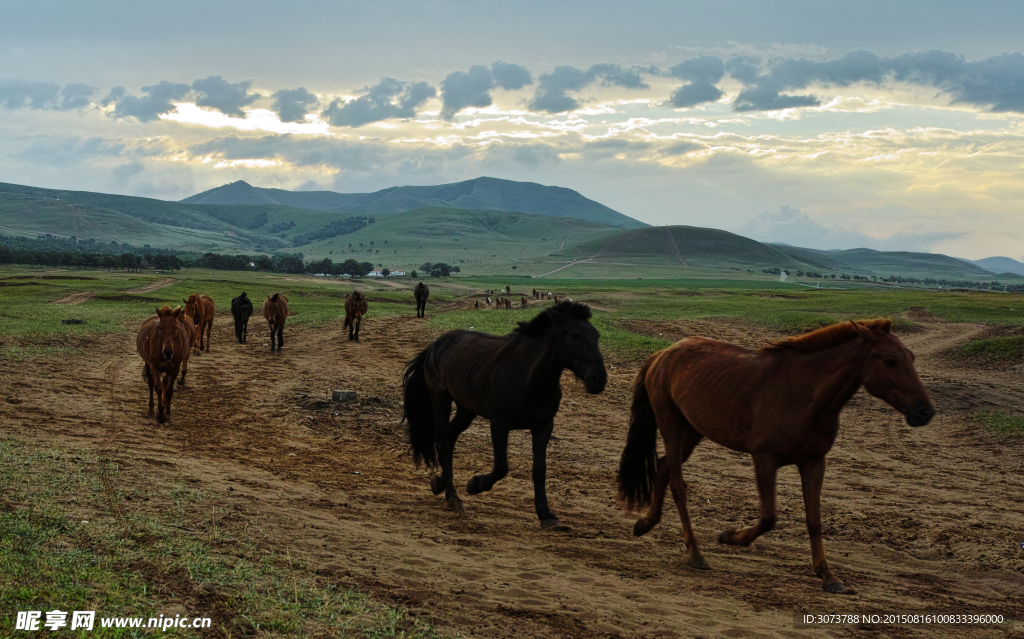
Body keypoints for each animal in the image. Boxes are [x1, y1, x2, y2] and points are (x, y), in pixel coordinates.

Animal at [401, 299, 606, 528]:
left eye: (596, 336)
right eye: (573, 335)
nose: (599, 379)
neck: (529, 377)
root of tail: (435, 345)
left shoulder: (543, 426)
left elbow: (539, 470)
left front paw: (545, 514)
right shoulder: (499, 423)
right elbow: (501, 467)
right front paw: (475, 485)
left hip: (466, 409)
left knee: (450, 437)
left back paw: (440, 484)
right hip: (440, 400)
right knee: (443, 442)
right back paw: (454, 497)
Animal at [614, 319, 937, 593]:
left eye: (911, 358)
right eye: (890, 360)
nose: (925, 412)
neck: (805, 394)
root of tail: (663, 353)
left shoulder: (814, 462)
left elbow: (814, 519)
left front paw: (827, 575)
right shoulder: (765, 460)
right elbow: (769, 517)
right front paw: (730, 537)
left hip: (692, 431)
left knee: (663, 468)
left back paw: (645, 524)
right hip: (670, 423)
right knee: (678, 485)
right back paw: (695, 552)